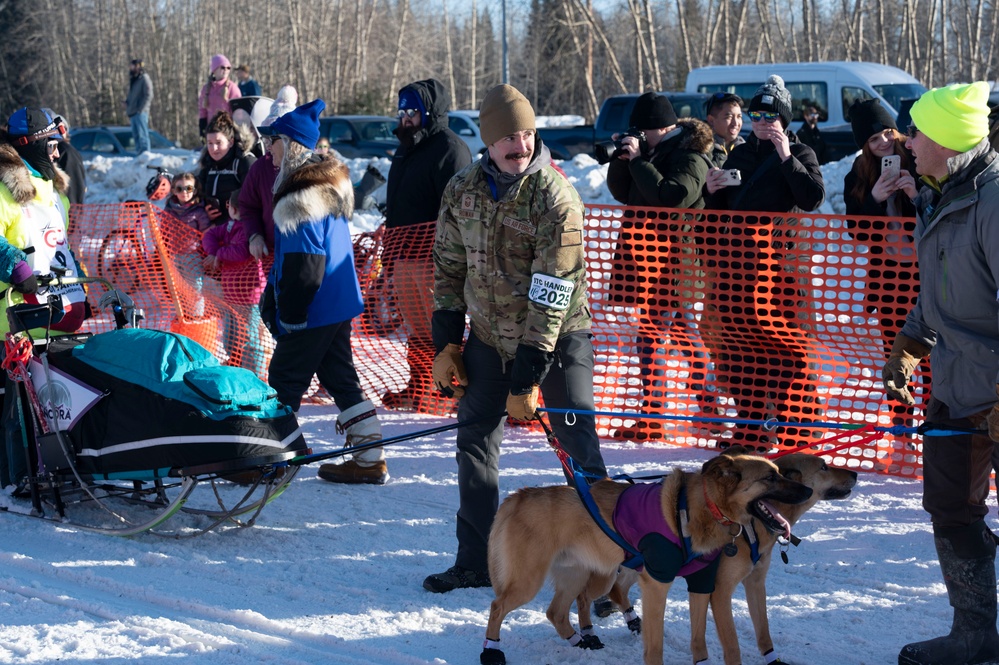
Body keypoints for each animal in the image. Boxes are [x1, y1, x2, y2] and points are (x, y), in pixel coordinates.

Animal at [478, 446, 812, 664]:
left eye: (781, 473)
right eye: (770, 478)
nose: (808, 491)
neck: (701, 509)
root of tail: (520, 495)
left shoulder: (702, 584)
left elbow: (699, 637)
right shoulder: (657, 584)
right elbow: (656, 646)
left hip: (578, 576)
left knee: (556, 612)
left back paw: (580, 640)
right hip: (529, 581)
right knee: (497, 606)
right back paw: (491, 650)